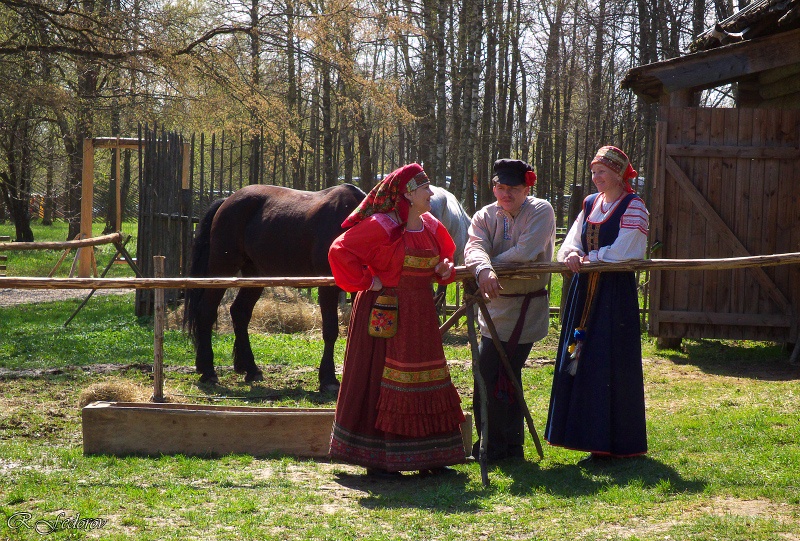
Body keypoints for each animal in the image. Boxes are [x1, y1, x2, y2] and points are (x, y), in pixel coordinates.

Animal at [184, 184, 366, 390]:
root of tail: (227, 201)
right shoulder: (327, 288)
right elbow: (330, 330)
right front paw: (328, 379)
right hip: (222, 268)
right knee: (206, 311)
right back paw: (208, 371)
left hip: (255, 274)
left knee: (239, 312)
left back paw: (250, 369)